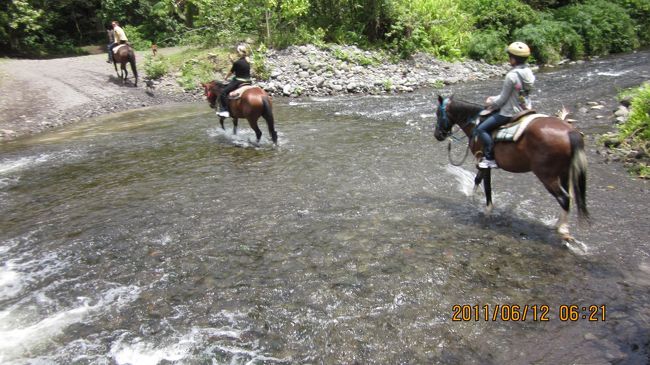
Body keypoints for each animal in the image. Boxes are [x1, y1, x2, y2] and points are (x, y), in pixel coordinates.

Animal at [430, 95, 588, 240]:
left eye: (438, 113)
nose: (437, 135)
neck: (476, 124)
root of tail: (570, 132)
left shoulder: (484, 162)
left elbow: (487, 186)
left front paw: (487, 210)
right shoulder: (481, 163)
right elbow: (477, 180)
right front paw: (471, 198)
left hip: (547, 176)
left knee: (564, 198)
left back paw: (562, 230)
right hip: (564, 173)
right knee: (568, 197)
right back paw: (559, 224)